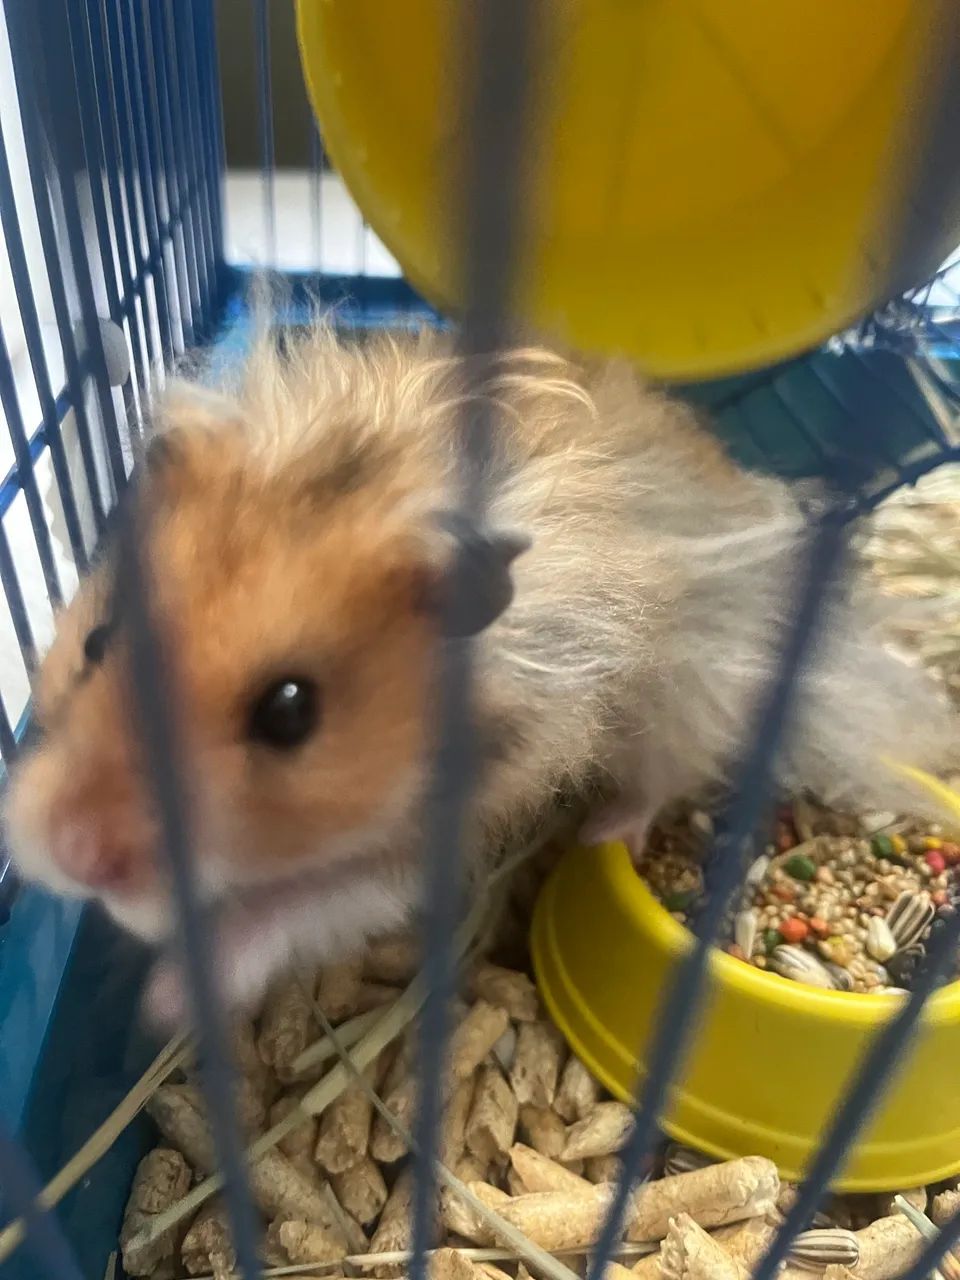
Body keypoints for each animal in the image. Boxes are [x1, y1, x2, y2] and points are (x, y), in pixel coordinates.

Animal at [5, 324, 958, 1019]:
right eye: (97, 641)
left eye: (289, 712)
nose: (75, 855)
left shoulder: (447, 825)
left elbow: (299, 908)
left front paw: (163, 1000)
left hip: (691, 696)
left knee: (662, 776)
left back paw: (605, 829)